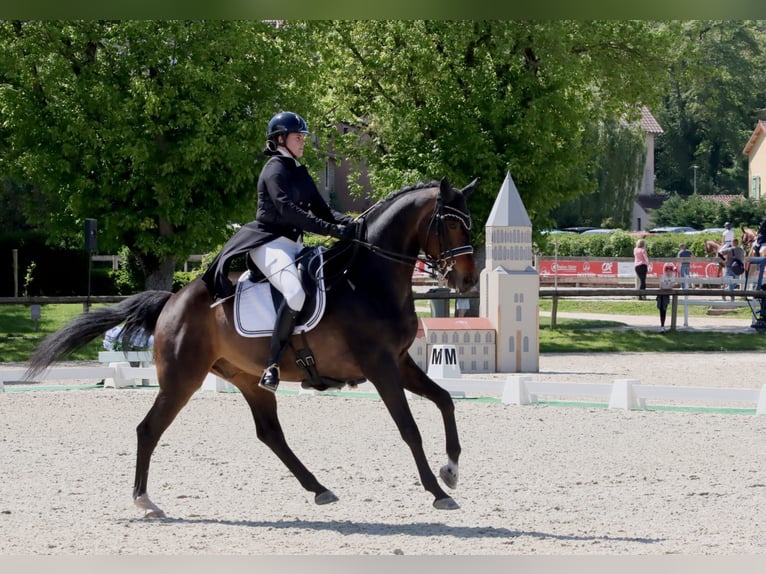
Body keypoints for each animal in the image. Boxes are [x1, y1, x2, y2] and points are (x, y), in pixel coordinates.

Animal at [26, 177, 479, 518]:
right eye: (452, 225)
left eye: (470, 223)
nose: (468, 281)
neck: (369, 278)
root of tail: (172, 300)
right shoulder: (380, 365)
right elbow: (409, 428)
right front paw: (438, 491)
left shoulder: (399, 362)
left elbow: (445, 400)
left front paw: (452, 469)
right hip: (182, 378)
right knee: (149, 429)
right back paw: (144, 501)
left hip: (246, 378)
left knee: (270, 433)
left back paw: (319, 488)